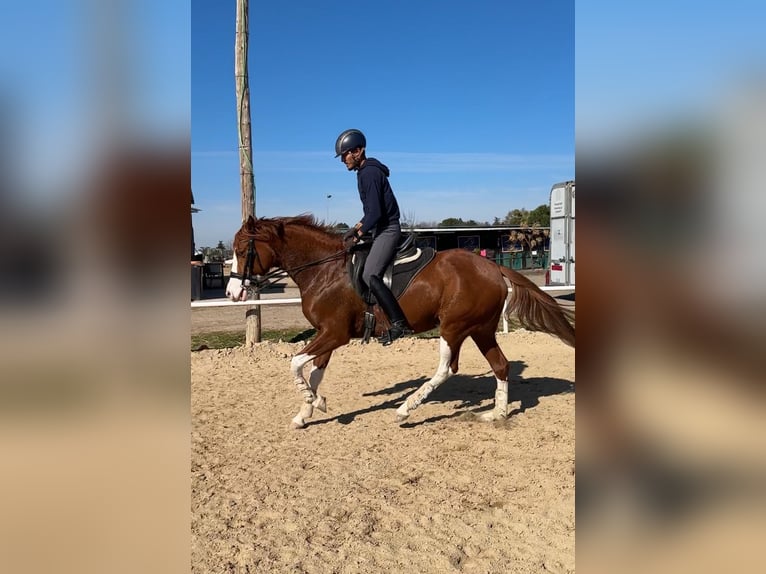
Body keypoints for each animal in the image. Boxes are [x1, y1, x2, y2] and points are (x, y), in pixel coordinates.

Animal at [226, 215, 575, 429]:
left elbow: (295, 363)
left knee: (447, 369)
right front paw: (306, 411)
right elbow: (313, 371)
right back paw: (497, 413)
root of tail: (493, 267)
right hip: (480, 329)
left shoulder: (335, 334)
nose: (232, 292)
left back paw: (406, 409)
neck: (324, 270)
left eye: (242, 250)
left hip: (453, 328)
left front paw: (316, 402)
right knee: (500, 365)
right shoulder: (328, 334)